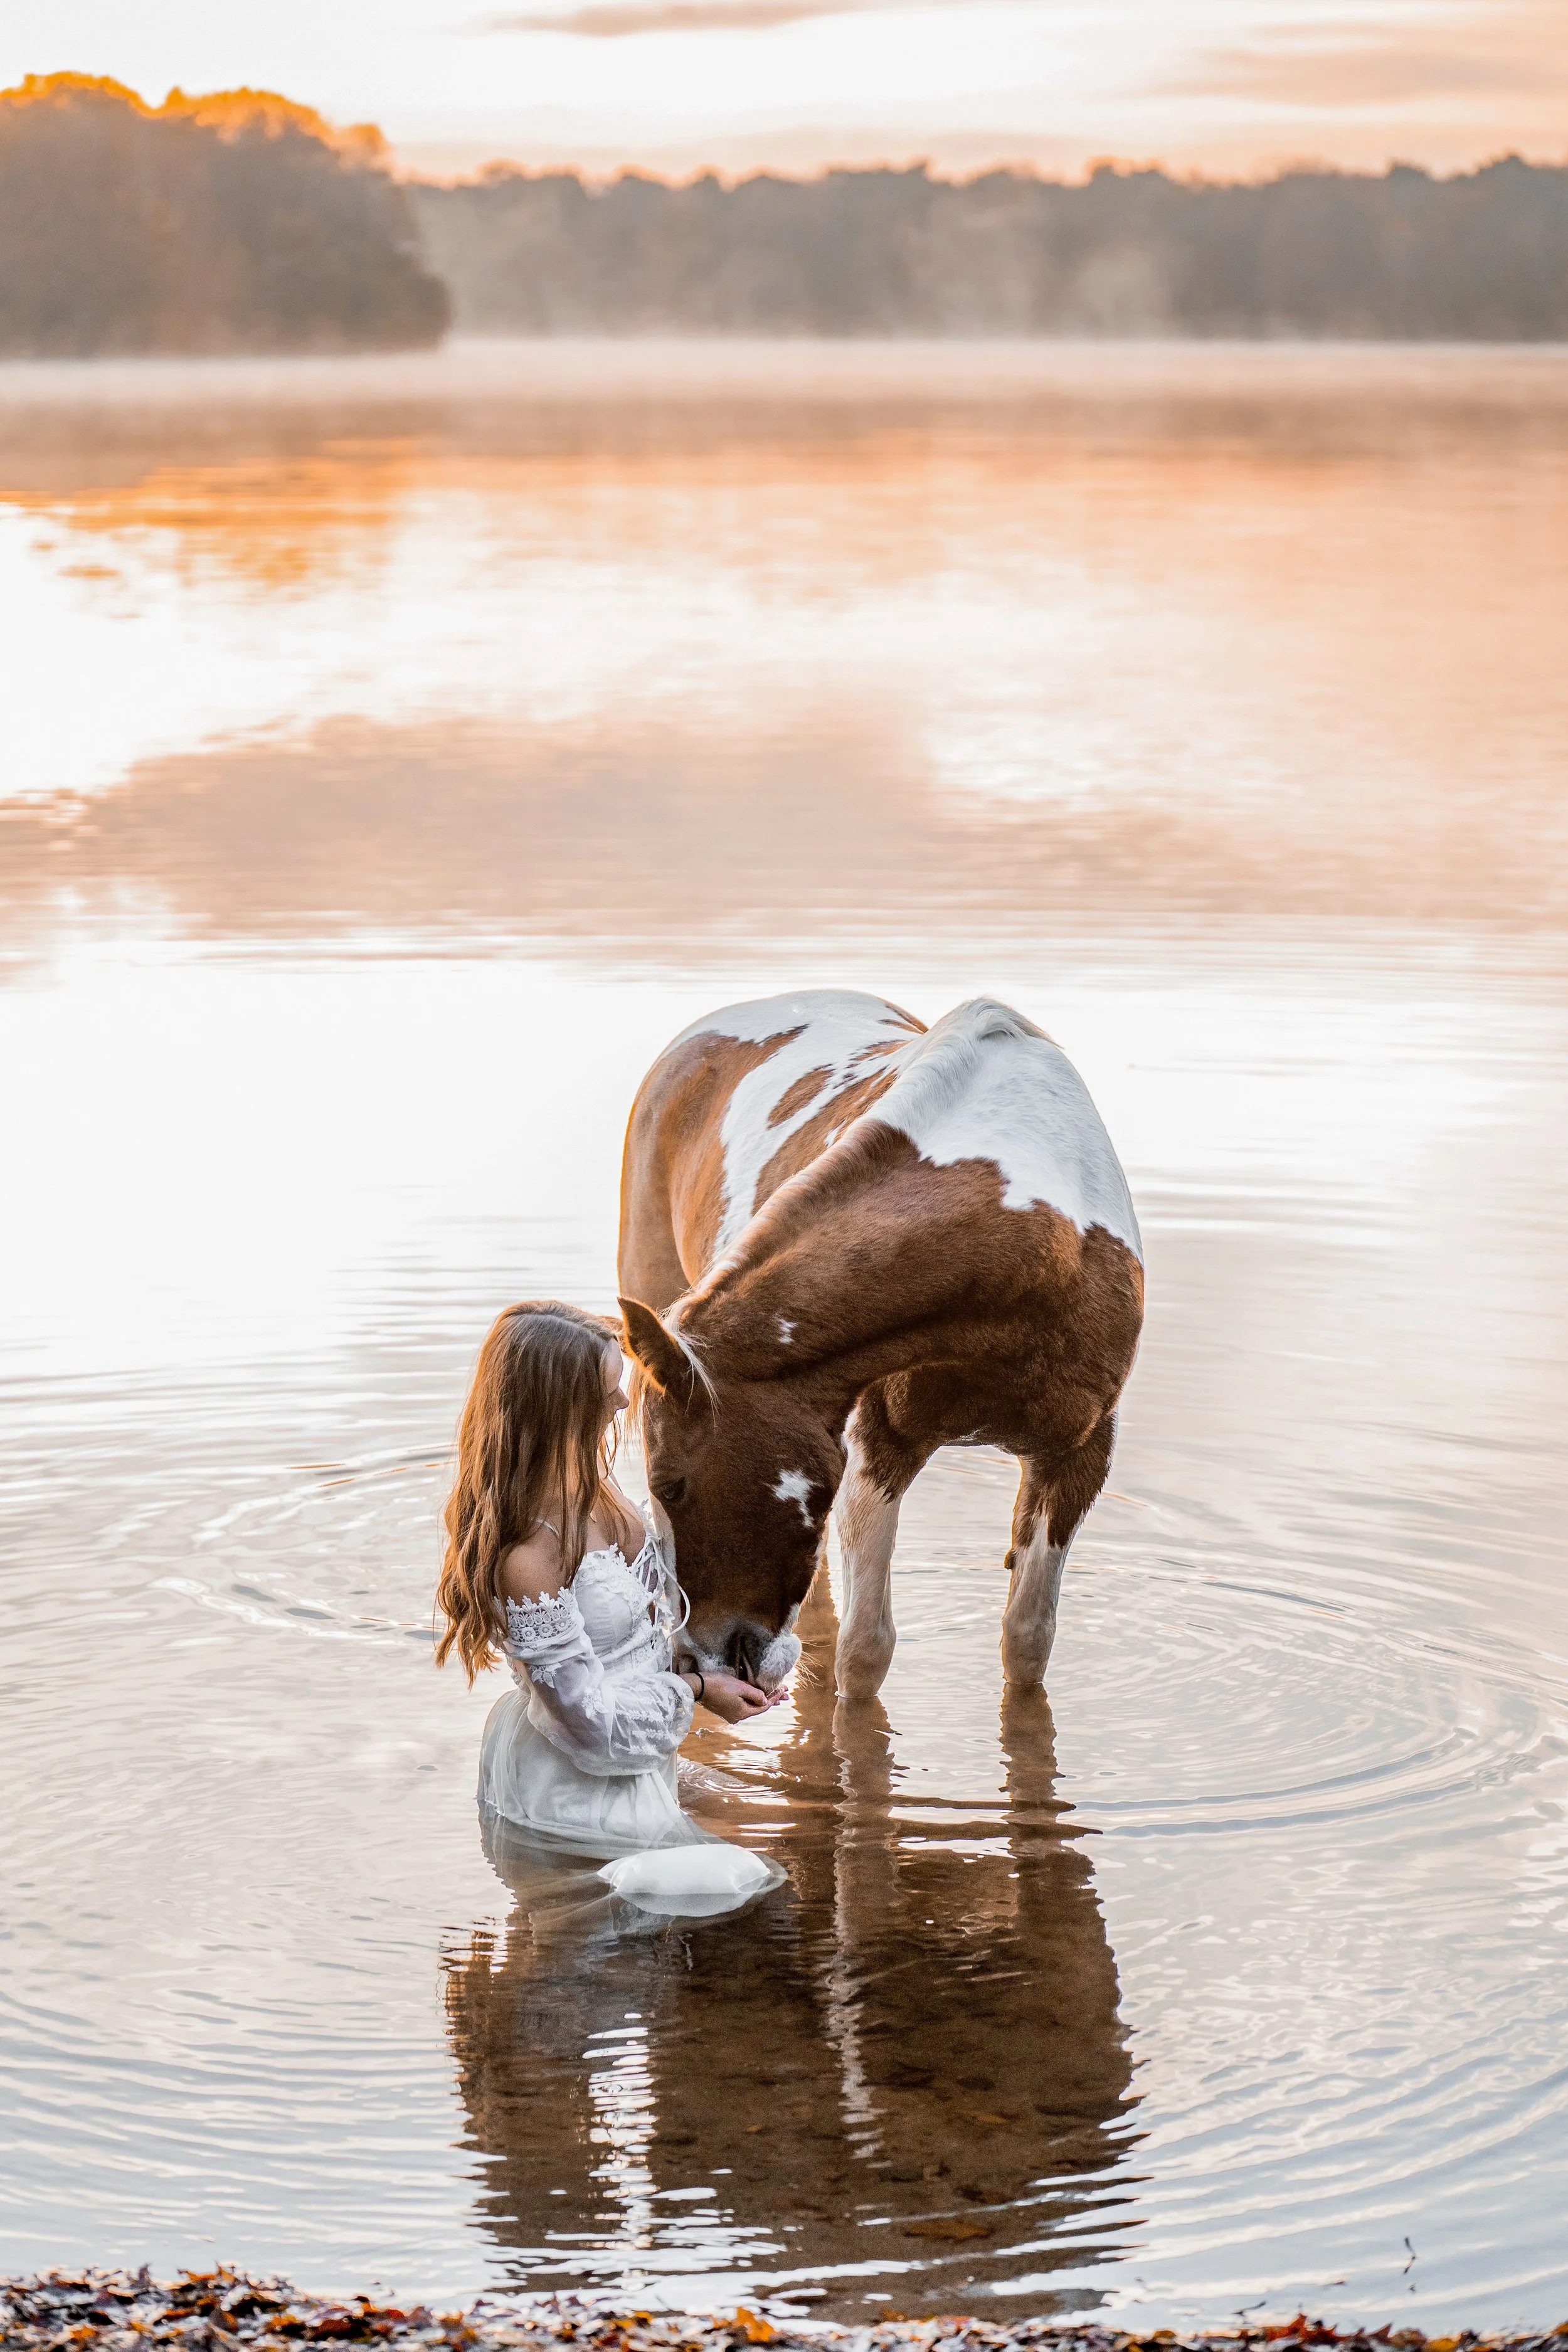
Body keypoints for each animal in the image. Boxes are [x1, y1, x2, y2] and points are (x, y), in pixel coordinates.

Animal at [617, 988, 1143, 1700]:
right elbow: (865, 1652)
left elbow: (1028, 1642)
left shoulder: (1077, 1457)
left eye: (669, 1485)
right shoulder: (877, 1452)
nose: (695, 1663)